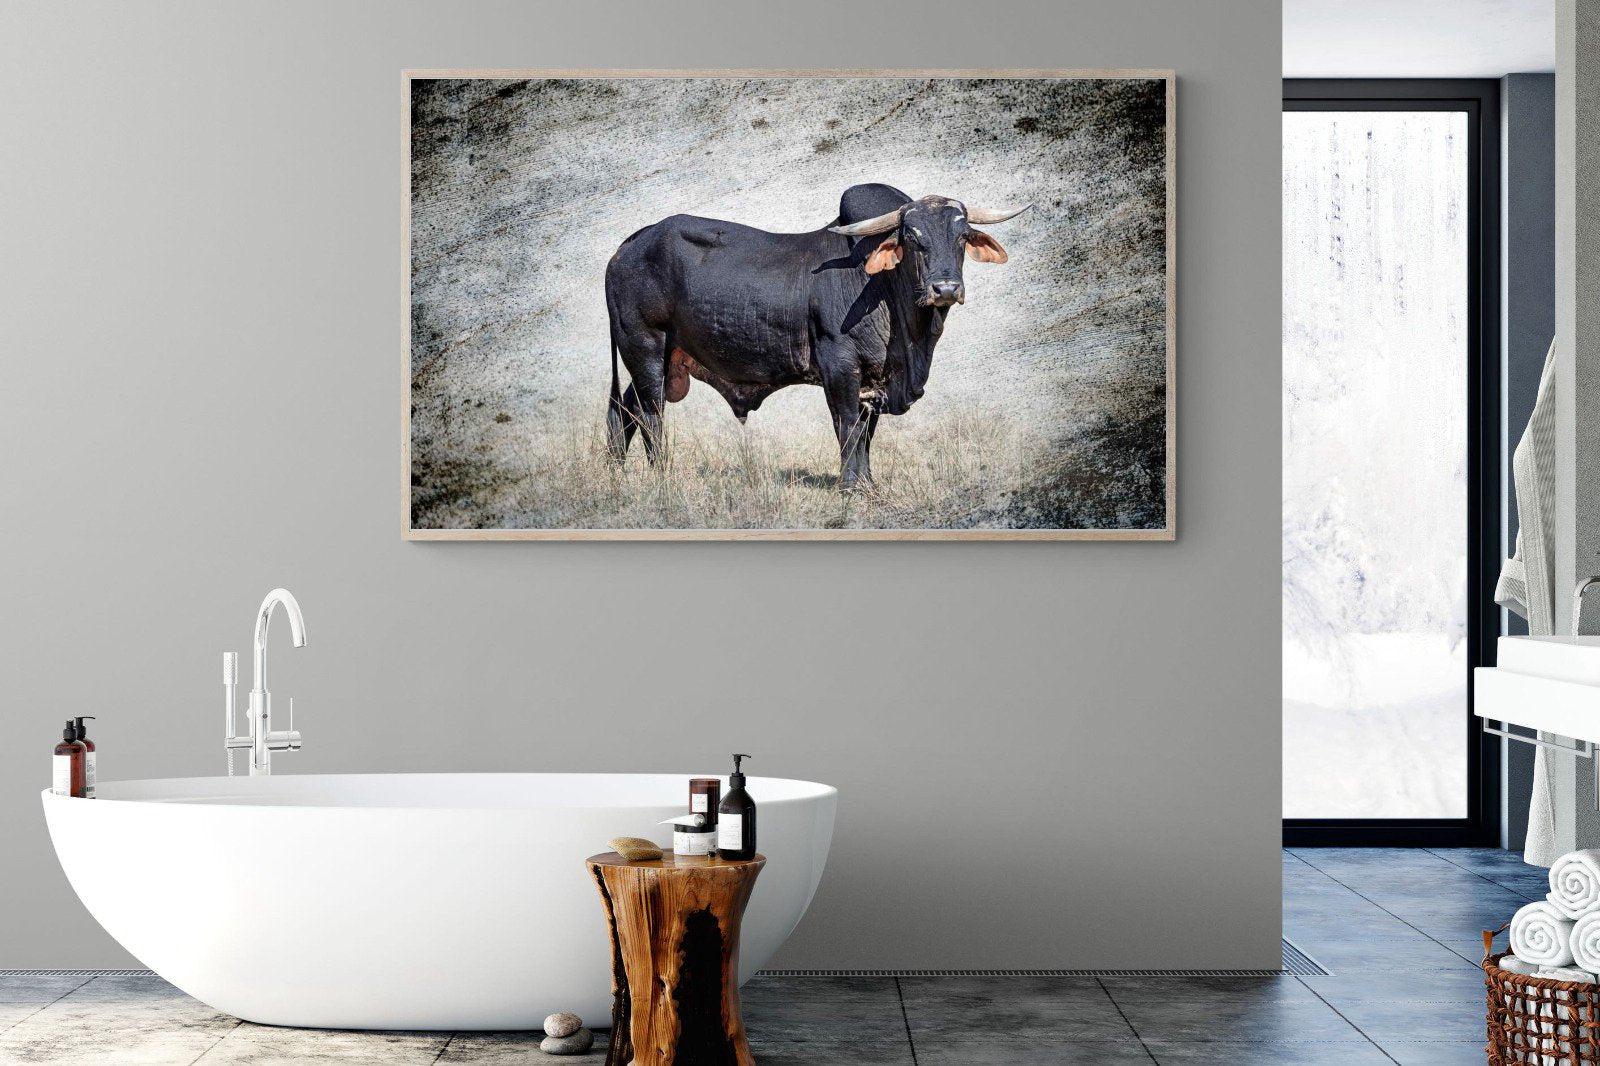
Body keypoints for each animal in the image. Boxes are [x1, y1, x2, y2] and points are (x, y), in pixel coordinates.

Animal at [604, 183, 1027, 489]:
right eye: (912, 237)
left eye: (962, 236)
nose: (946, 289)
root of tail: (629, 245)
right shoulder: (839, 367)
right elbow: (848, 426)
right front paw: (851, 486)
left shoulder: (872, 381)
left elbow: (865, 432)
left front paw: (867, 483)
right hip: (645, 348)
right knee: (650, 414)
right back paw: (660, 474)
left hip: (660, 359)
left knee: (623, 410)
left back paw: (615, 472)